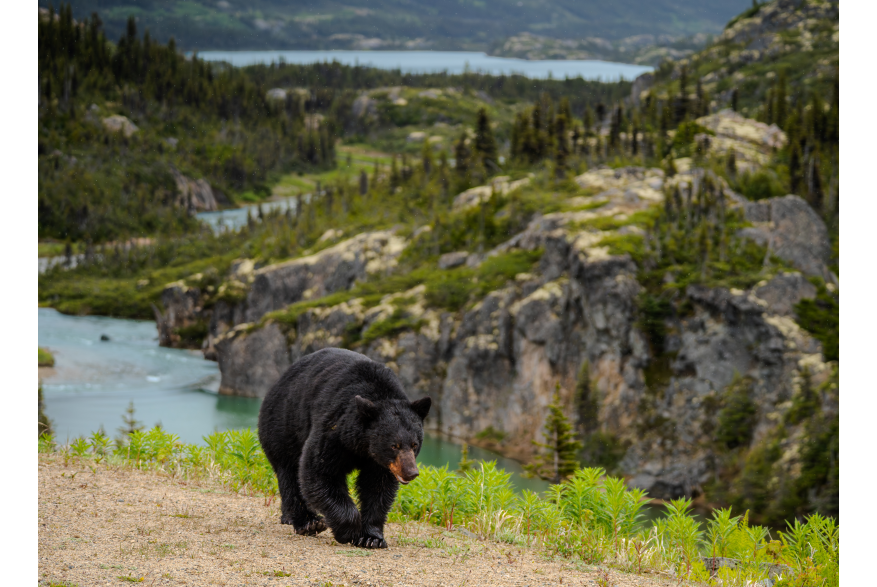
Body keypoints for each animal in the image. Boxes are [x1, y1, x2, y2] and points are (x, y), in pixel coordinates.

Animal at [258, 348, 431, 549]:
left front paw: (372, 537)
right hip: (284, 425)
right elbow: (319, 472)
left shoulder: (379, 462)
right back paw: (308, 523)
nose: (411, 472)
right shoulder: (334, 430)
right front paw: (349, 530)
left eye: (414, 444)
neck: (363, 446)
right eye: (394, 445)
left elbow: (378, 487)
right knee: (289, 472)